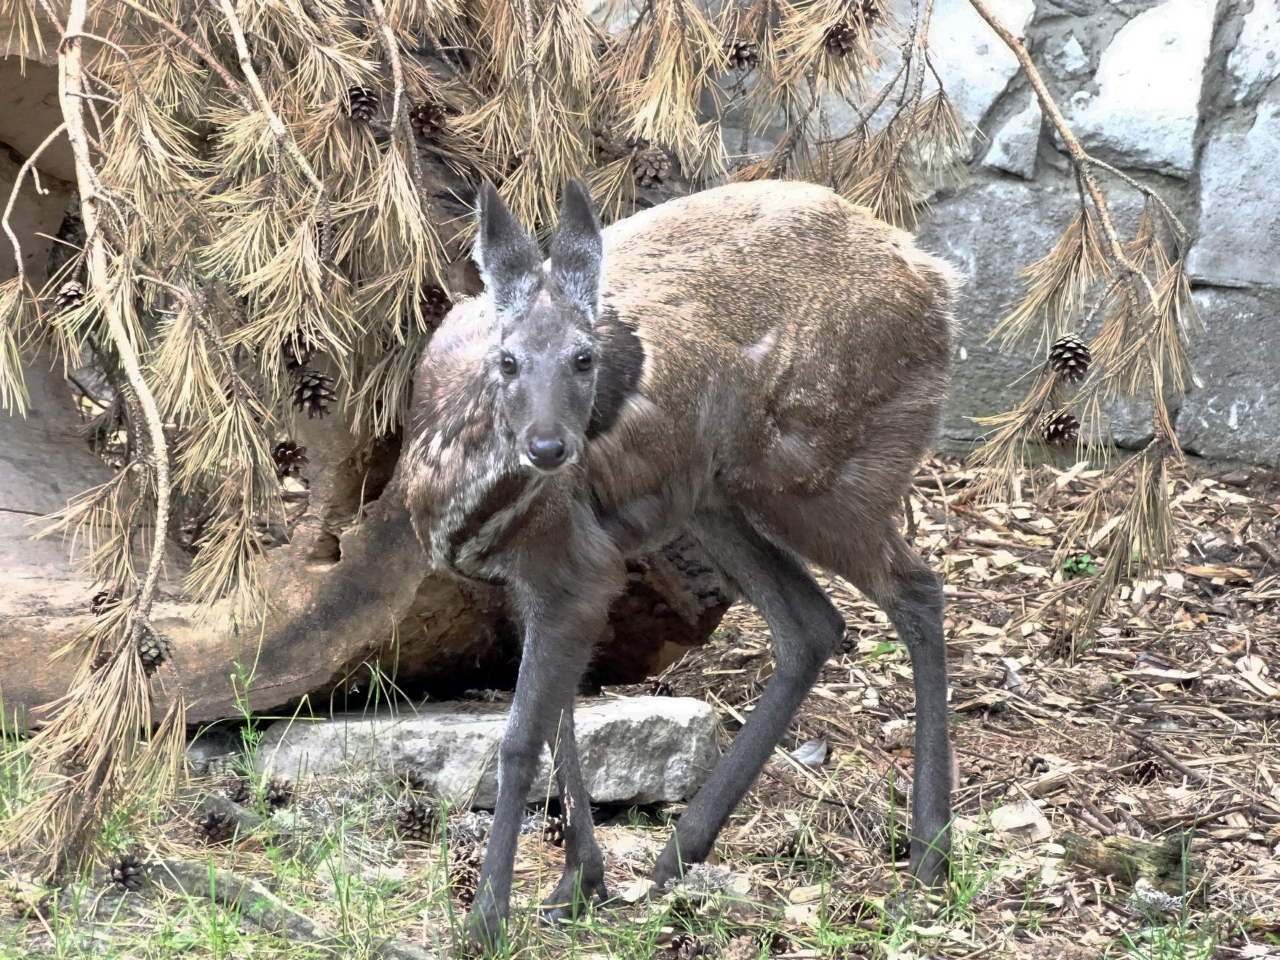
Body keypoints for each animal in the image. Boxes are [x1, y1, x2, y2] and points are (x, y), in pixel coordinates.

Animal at [407, 179, 962, 947]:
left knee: (916, 589)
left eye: (585, 358)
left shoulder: (579, 569)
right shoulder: (547, 582)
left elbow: (521, 741)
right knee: (812, 623)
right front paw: (577, 884)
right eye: (509, 359)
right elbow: (564, 724)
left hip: (825, 477)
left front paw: (487, 922)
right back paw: (679, 852)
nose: (550, 448)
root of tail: (938, 283)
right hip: (714, 499)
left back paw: (930, 854)